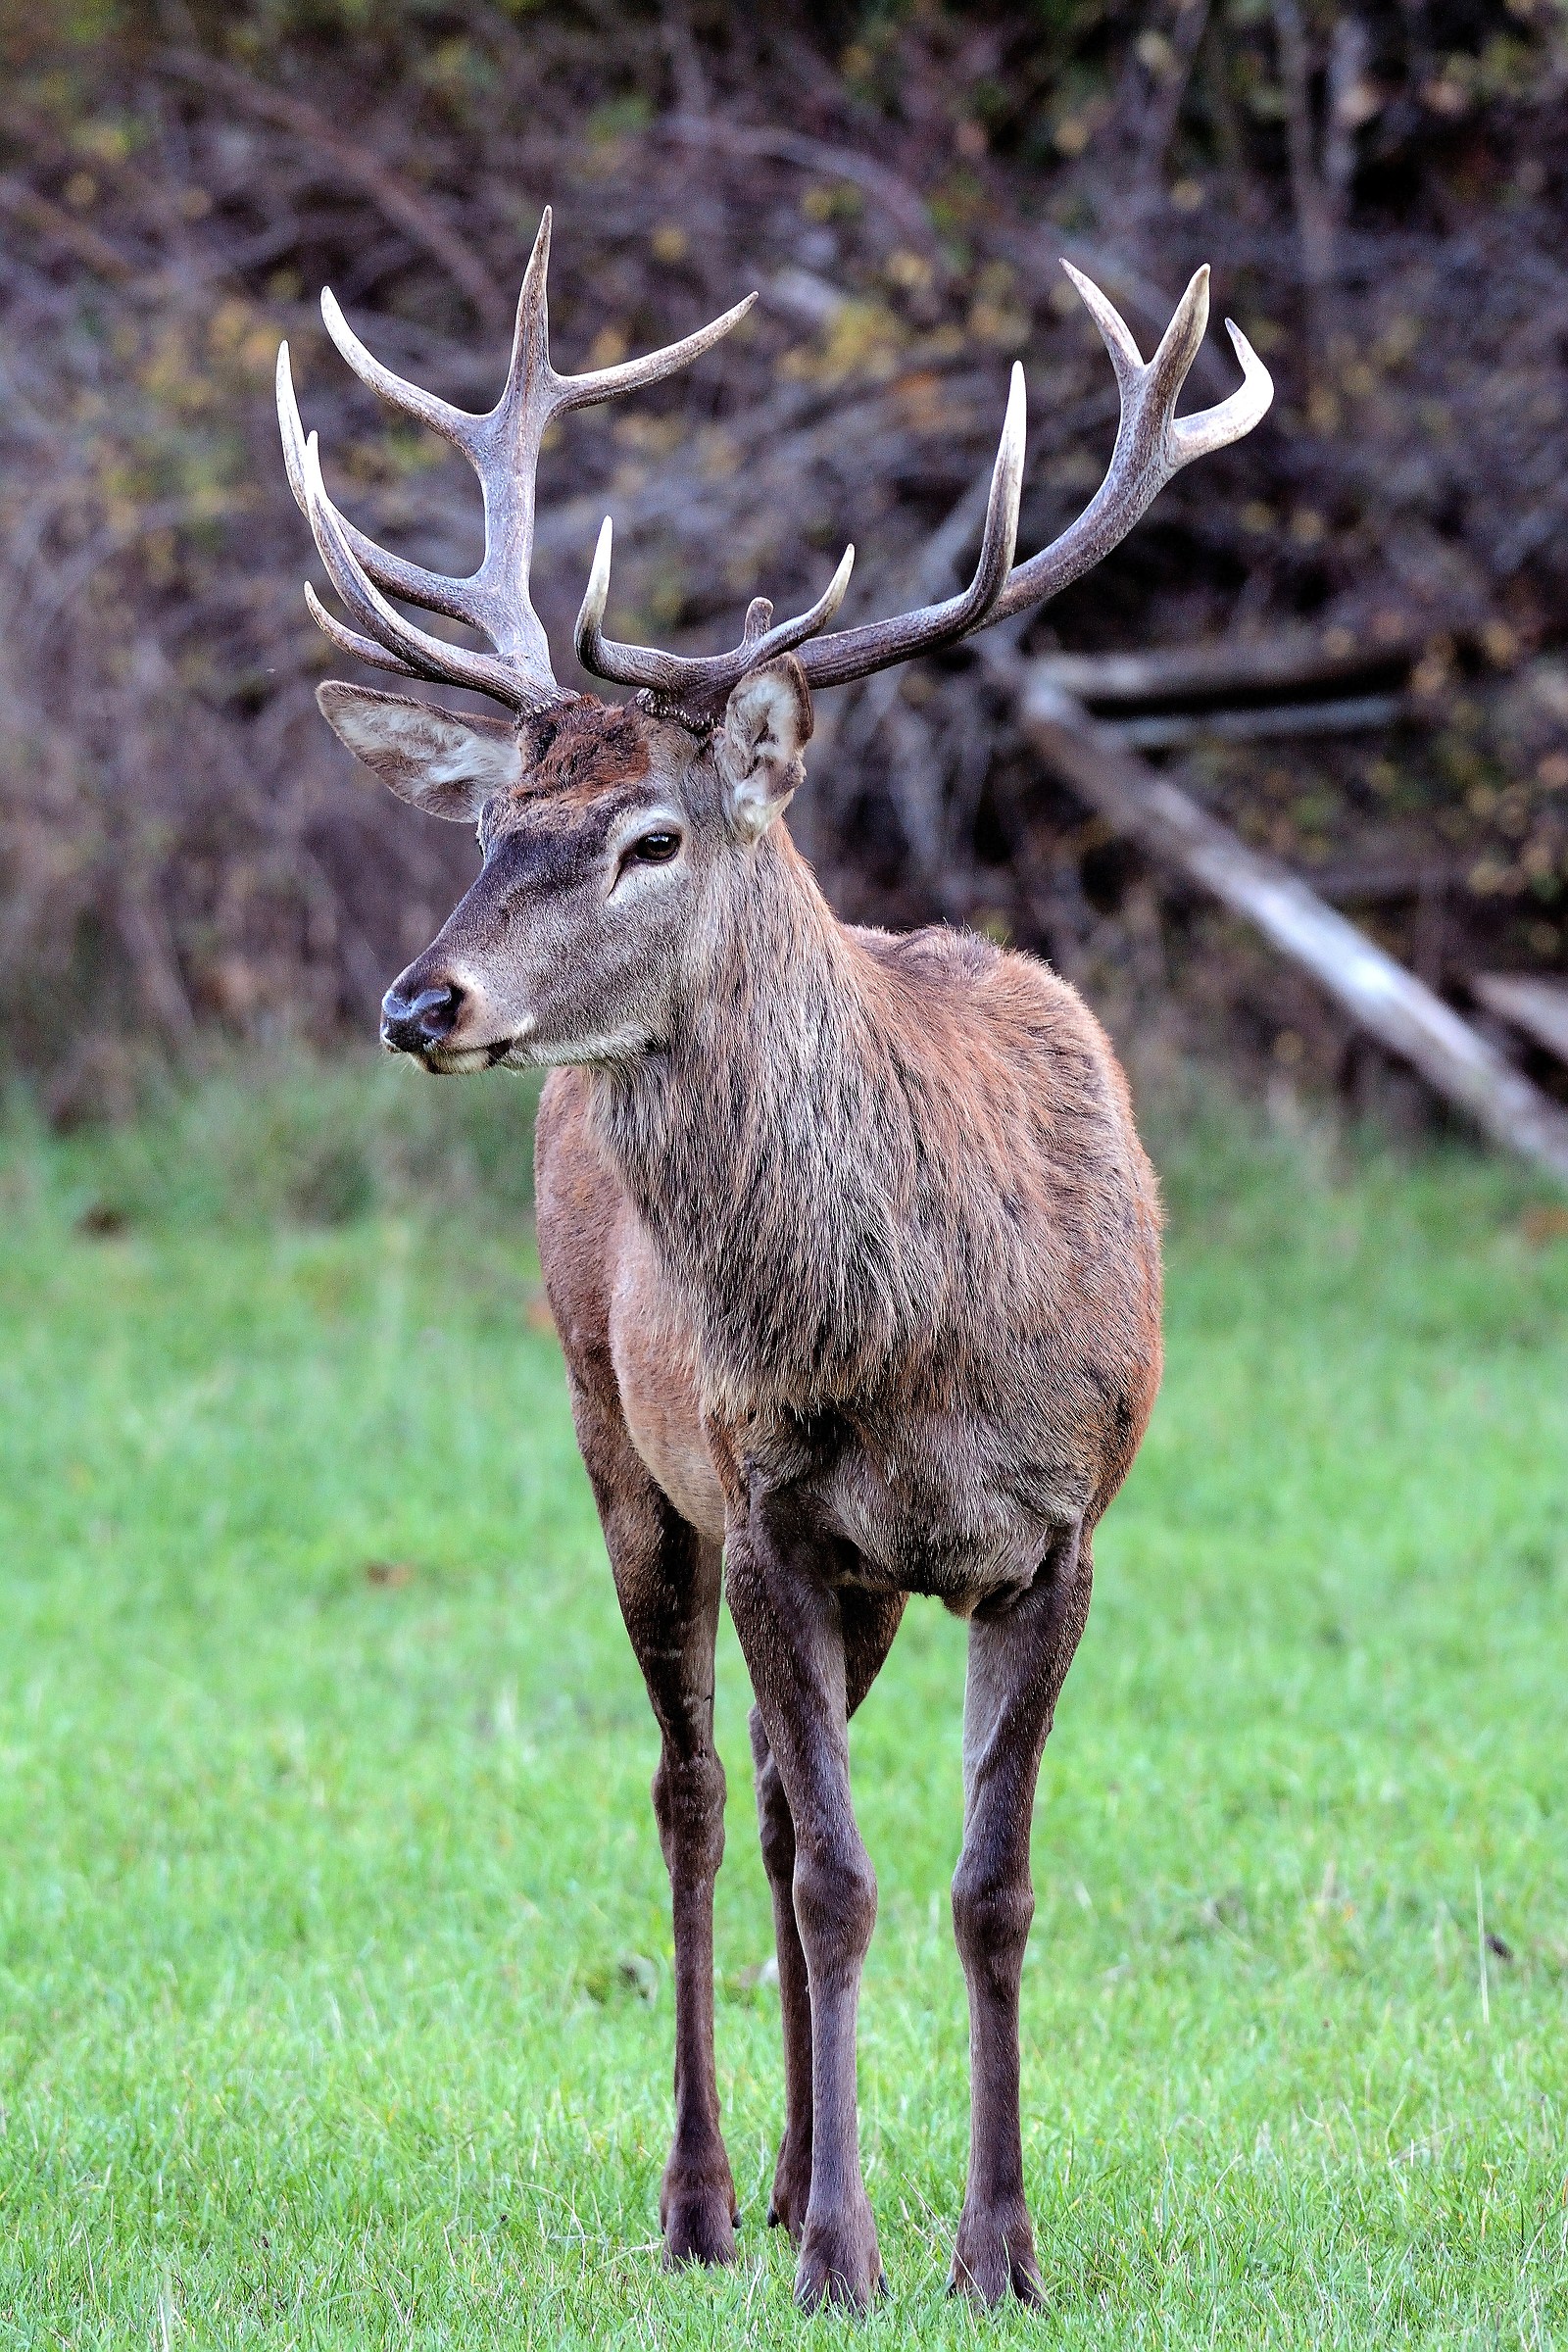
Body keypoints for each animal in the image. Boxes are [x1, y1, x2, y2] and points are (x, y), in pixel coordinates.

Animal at [276, 209, 1270, 2311]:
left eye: (652, 833)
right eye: (495, 818)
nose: (421, 999)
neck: (919, 1338)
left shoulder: (1060, 1530)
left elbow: (987, 1888)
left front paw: (996, 2253)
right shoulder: (764, 1503)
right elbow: (833, 1876)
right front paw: (842, 2255)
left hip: (856, 1574)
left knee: (774, 1793)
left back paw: (812, 2167)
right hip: (621, 1441)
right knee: (701, 1799)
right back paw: (717, 2198)